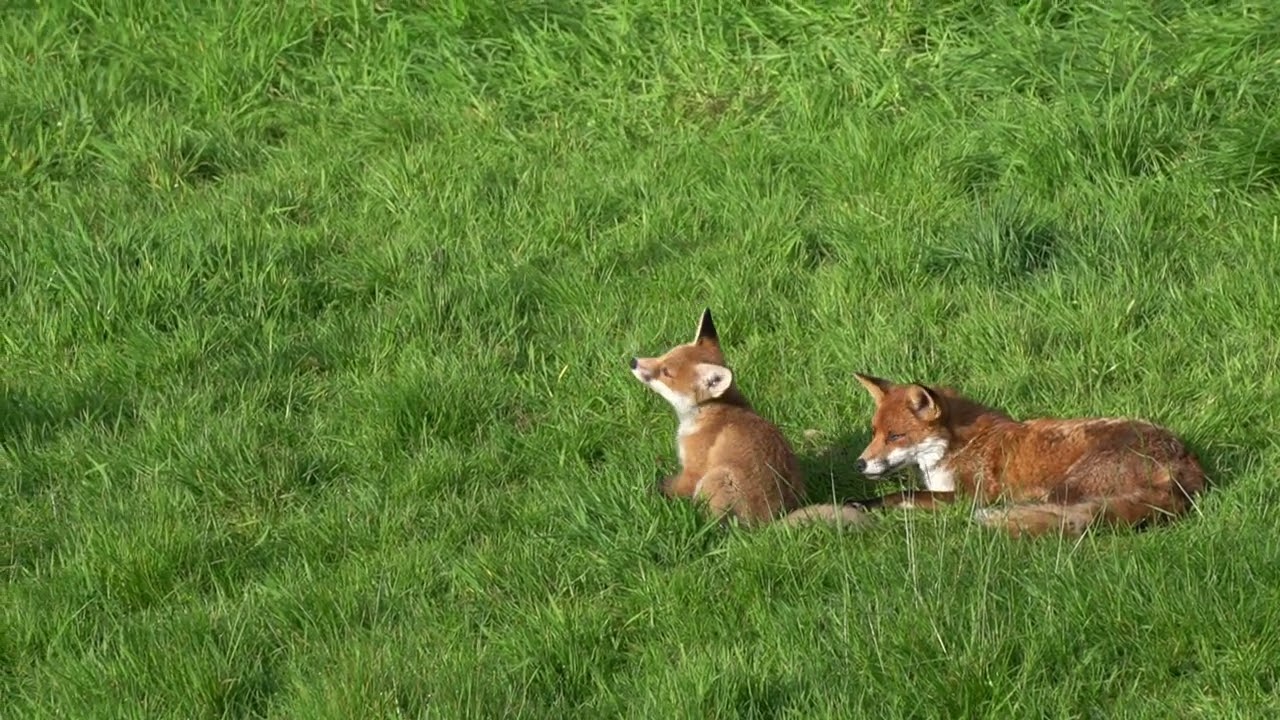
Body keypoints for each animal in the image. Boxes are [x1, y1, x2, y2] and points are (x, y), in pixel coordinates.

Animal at [629, 308, 872, 529]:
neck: (708, 414)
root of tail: (770, 524)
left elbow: (670, 487)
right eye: (664, 355)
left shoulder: (693, 471)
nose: (633, 361)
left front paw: (651, 494)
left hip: (716, 479)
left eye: (666, 372)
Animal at [847, 372, 1208, 537]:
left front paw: (865, 504)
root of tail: (1187, 466)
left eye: (896, 436)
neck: (956, 445)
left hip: (1064, 488)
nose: (859, 463)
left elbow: (903, 494)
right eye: (874, 433)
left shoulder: (970, 496)